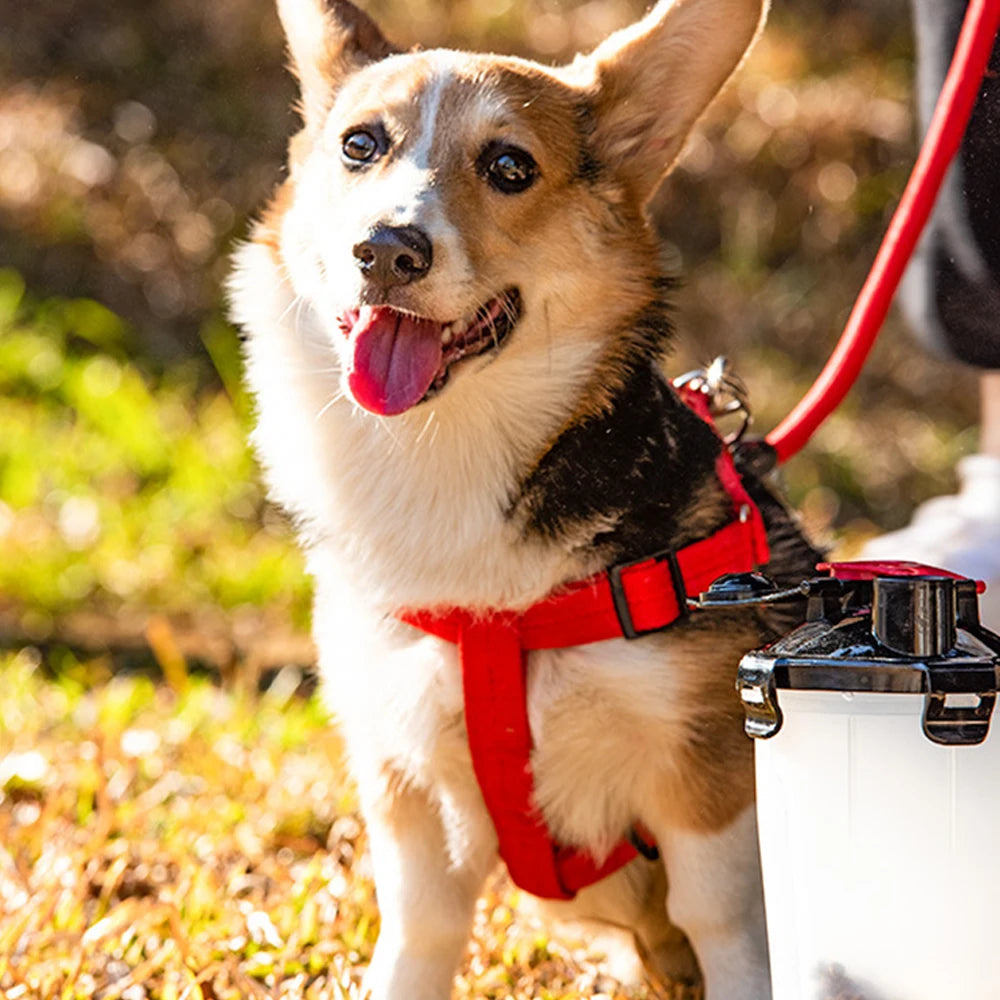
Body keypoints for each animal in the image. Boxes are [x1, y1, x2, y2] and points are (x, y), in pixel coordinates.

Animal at [229, 0, 820, 996]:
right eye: (359, 145)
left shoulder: (708, 776)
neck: (447, 454)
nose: (385, 251)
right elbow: (419, 937)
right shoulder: (407, 789)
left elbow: (732, 928)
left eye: (510, 168)